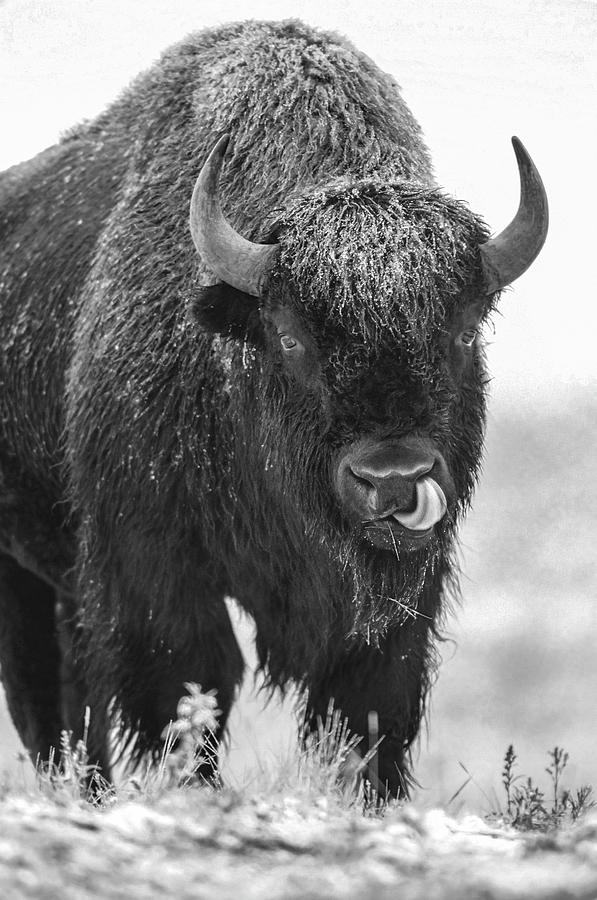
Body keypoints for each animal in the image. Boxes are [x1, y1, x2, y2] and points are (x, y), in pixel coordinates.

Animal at [0, 19, 548, 796]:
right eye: (289, 337)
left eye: (464, 331)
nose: (393, 480)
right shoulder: (153, 566)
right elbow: (189, 682)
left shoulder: (399, 606)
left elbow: (368, 709)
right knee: (46, 702)